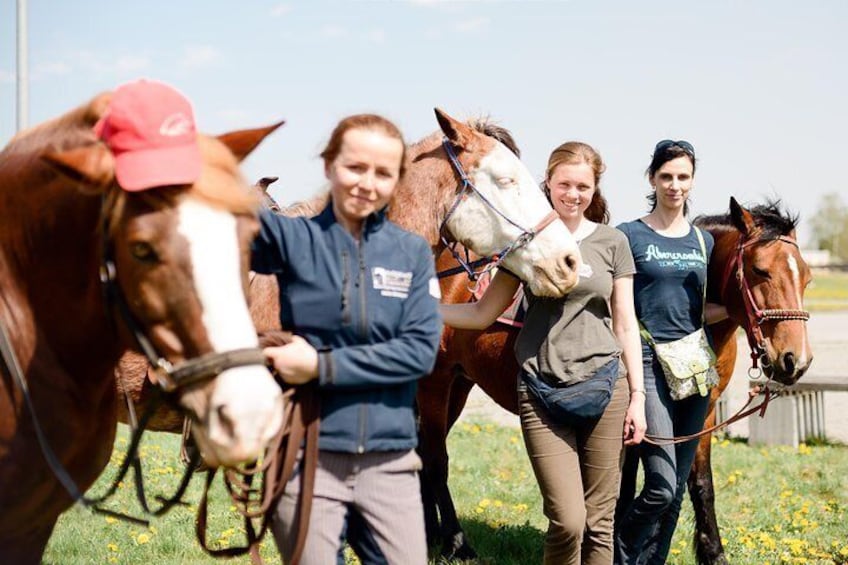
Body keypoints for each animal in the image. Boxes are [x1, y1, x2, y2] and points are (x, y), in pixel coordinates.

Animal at [420, 196, 816, 556]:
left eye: (807, 277)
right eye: (759, 270)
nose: (794, 359)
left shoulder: (702, 414)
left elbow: (701, 484)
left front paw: (713, 553)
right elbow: (624, 487)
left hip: (459, 384)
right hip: (435, 385)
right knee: (436, 459)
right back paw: (455, 542)